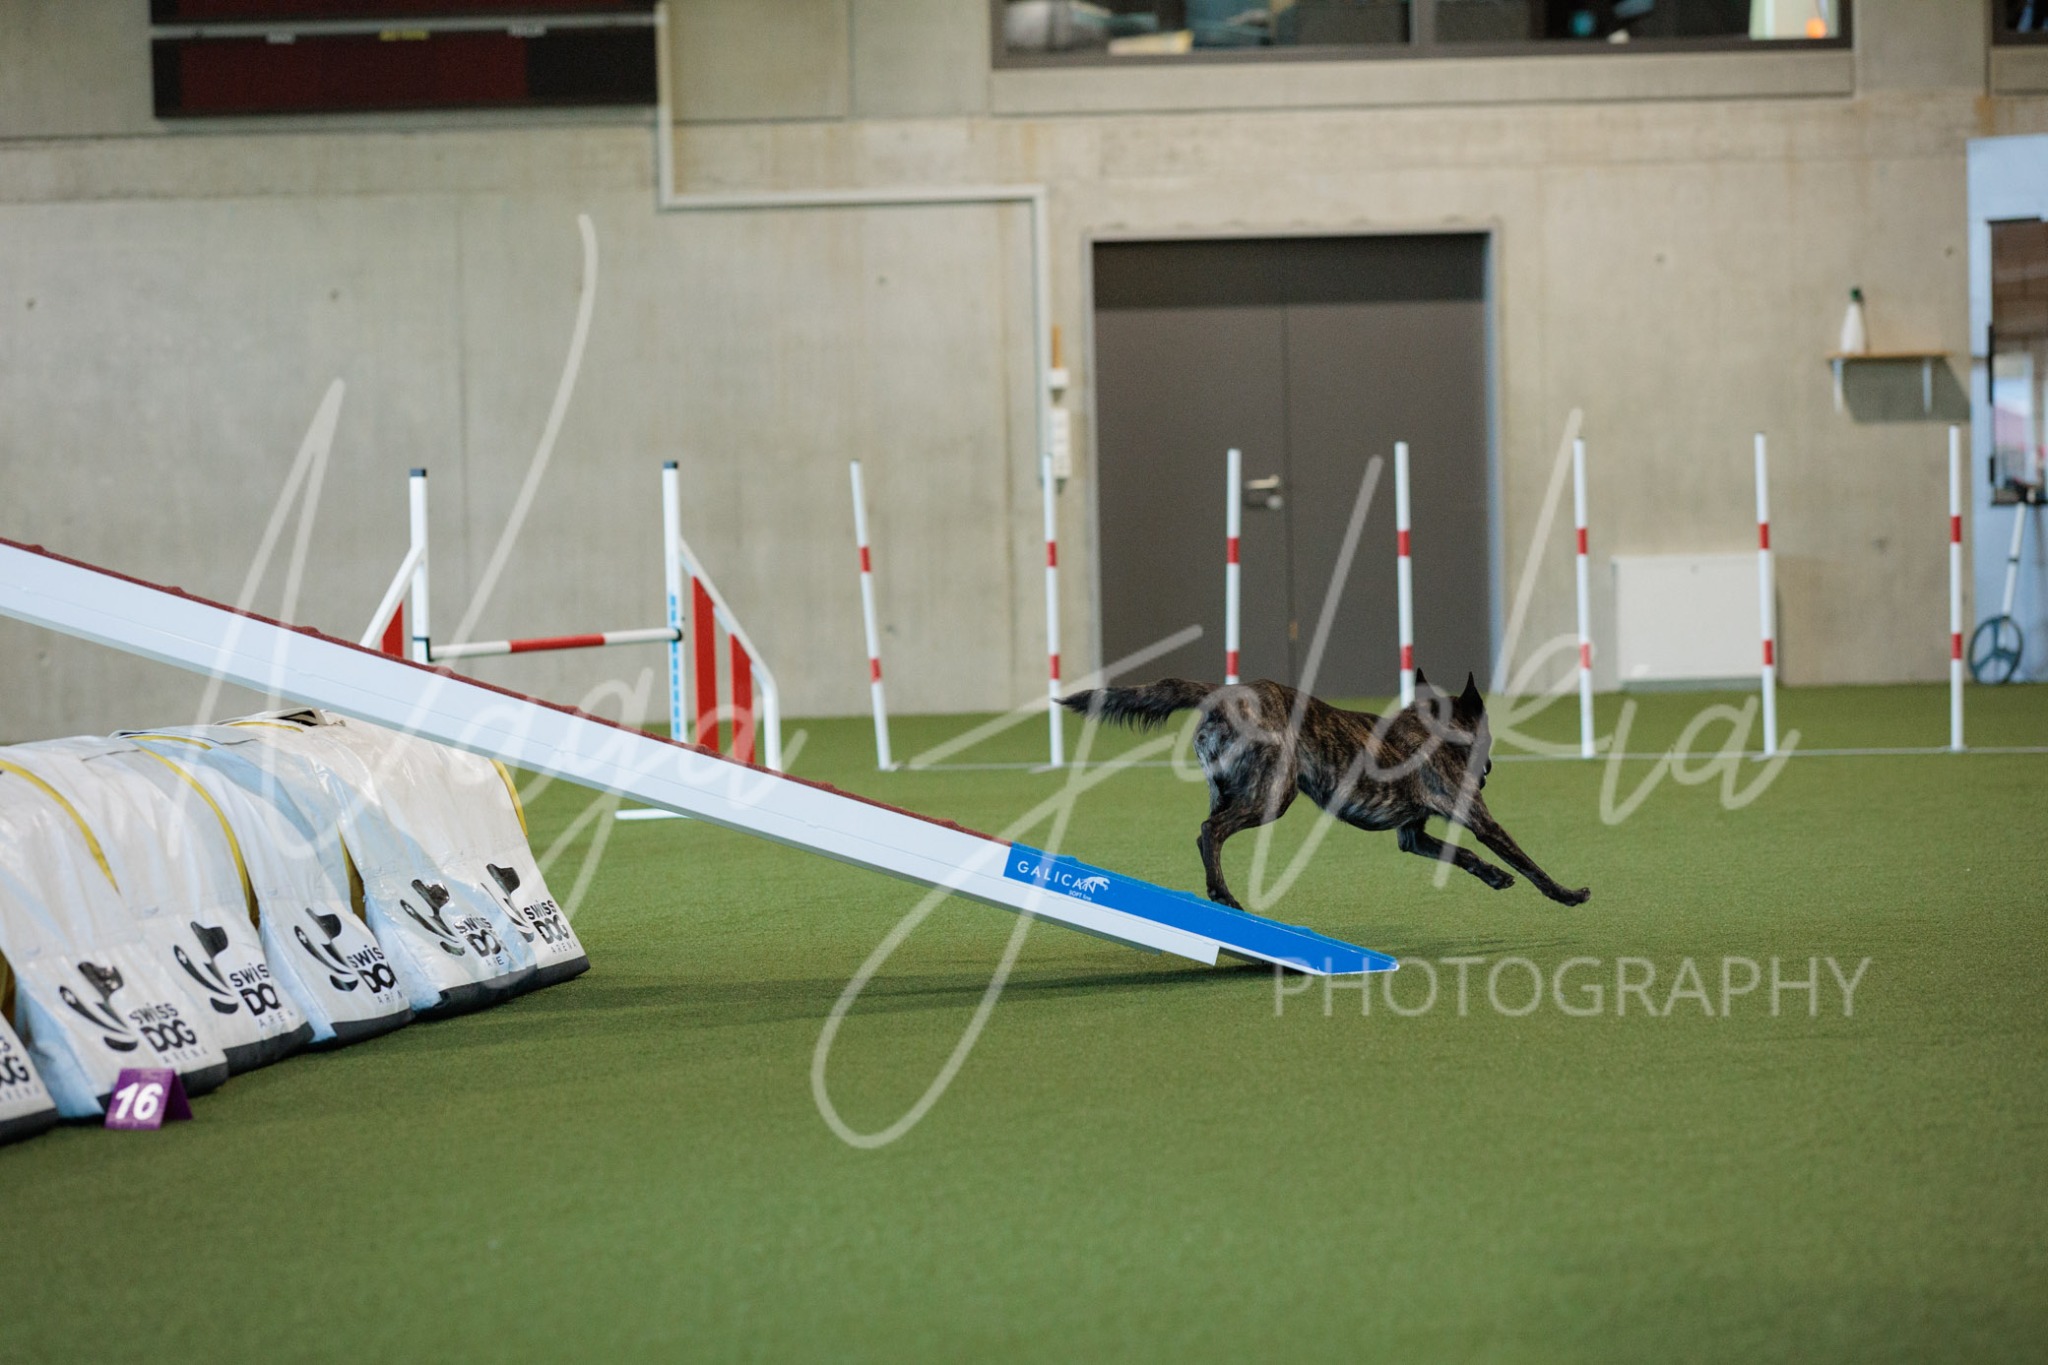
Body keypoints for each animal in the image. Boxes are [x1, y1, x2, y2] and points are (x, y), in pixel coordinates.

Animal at [1059, 671, 1590, 911]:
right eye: (1488, 737)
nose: (1488, 770)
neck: (1436, 731)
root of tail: (1224, 693)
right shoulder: (1480, 819)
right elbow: (1527, 861)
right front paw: (1566, 894)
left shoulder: (1413, 837)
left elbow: (1462, 855)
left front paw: (1495, 877)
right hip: (1272, 796)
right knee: (1210, 831)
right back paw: (1222, 893)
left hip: (1232, 789)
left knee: (1206, 831)